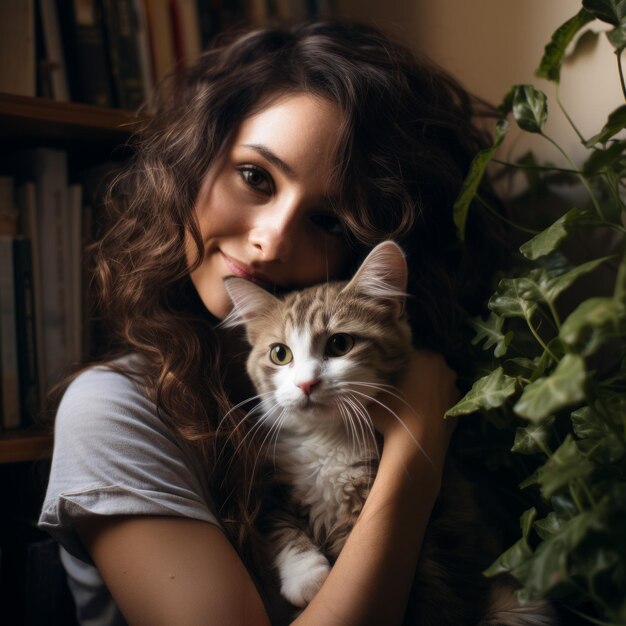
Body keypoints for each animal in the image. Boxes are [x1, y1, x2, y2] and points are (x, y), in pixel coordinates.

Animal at [222, 240, 552, 624]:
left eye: (340, 345)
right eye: (279, 354)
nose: (305, 383)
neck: (326, 440)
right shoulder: (271, 479)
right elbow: (280, 523)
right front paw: (307, 577)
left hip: (519, 601)